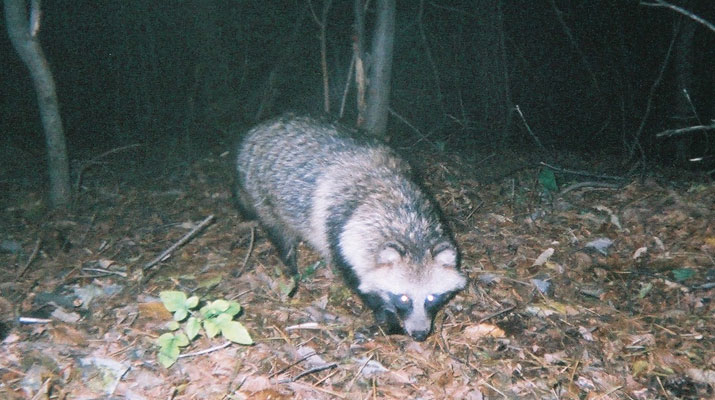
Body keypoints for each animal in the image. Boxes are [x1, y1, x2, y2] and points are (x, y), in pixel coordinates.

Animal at [236, 114, 470, 342]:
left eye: (432, 297)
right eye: (403, 297)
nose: (420, 335)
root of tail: (259, 128)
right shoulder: (340, 234)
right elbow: (359, 282)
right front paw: (387, 317)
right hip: (261, 195)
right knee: (281, 235)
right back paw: (291, 269)